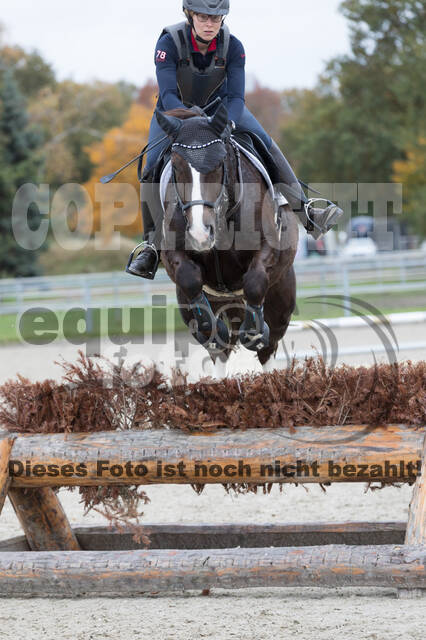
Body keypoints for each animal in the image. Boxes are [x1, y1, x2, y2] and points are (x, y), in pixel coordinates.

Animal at [155, 103, 298, 376]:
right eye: (177, 167)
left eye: (219, 163)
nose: (200, 233)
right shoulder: (172, 253)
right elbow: (189, 278)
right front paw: (213, 330)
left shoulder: (268, 247)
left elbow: (254, 282)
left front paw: (253, 333)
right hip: (194, 304)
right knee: (220, 352)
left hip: (281, 297)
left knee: (269, 346)